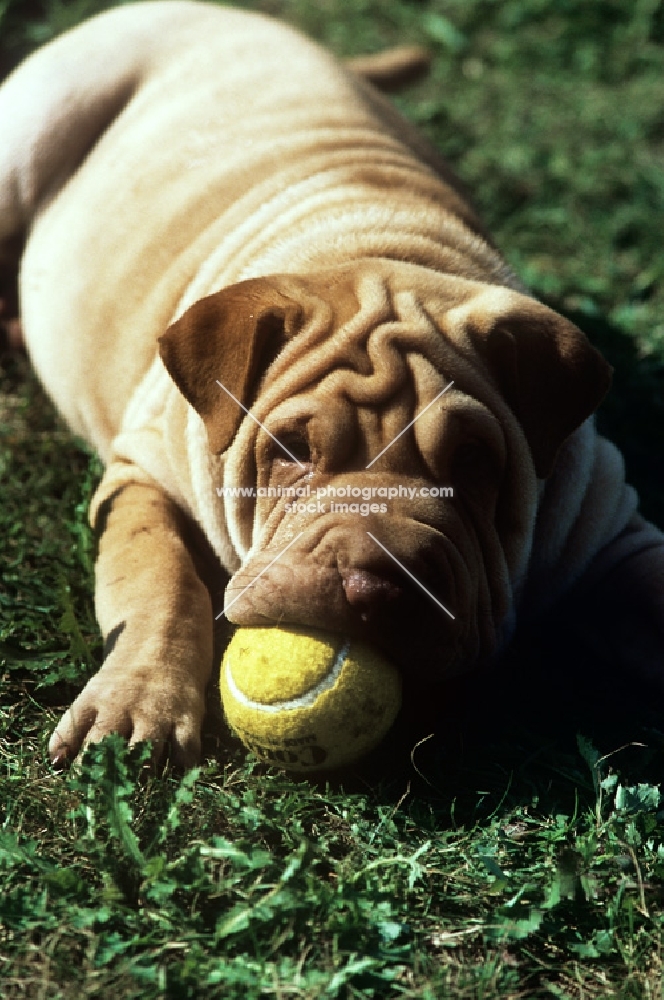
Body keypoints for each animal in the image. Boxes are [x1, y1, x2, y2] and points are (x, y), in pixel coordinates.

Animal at [1, 1, 664, 764]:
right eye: (291, 452)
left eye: (473, 461)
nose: (376, 586)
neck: (378, 243)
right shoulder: (146, 476)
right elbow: (160, 581)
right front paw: (137, 705)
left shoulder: (610, 530)